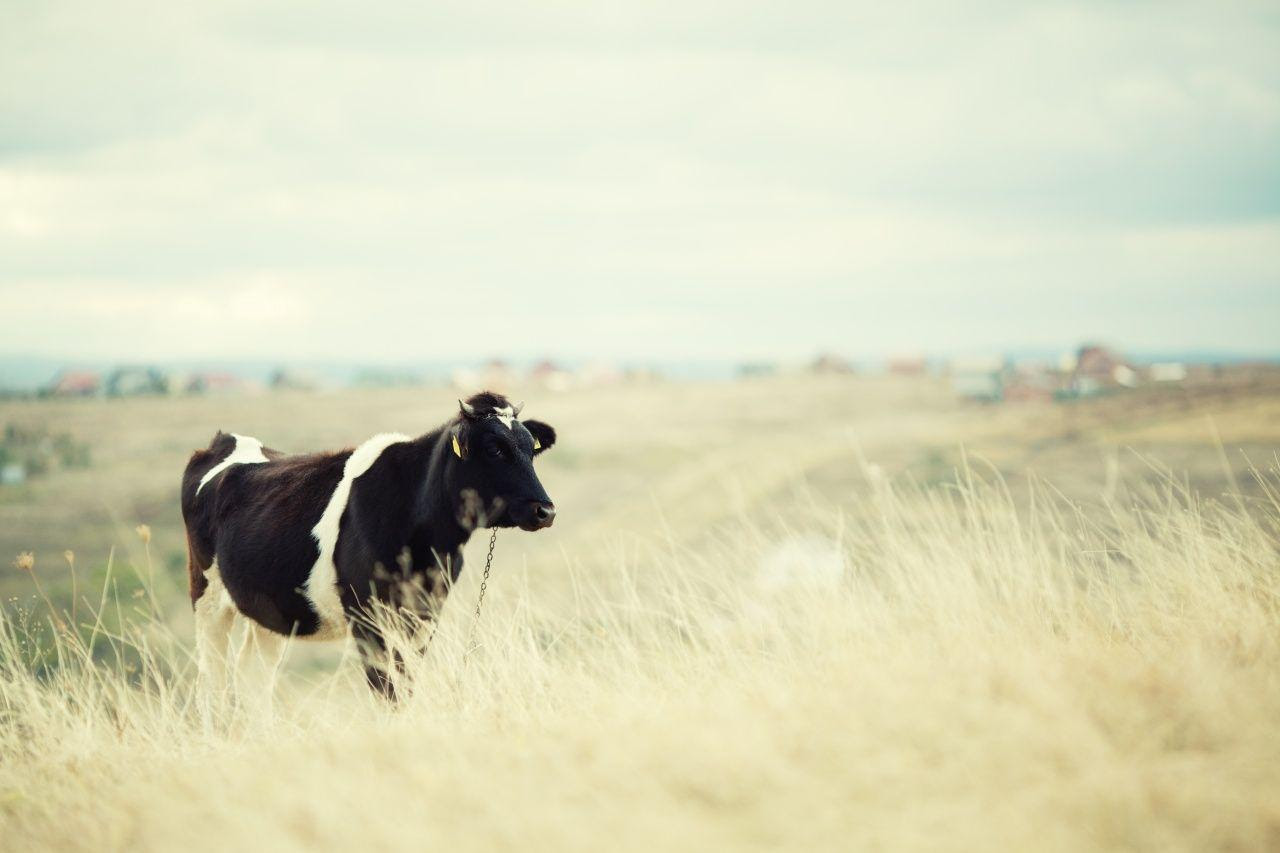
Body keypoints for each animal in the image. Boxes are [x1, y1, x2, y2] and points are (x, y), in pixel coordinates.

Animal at [180, 391, 557, 700]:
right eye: (495, 449)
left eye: (531, 449)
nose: (545, 511)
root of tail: (224, 440)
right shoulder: (366, 613)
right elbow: (385, 688)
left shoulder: (425, 612)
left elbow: (405, 683)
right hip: (208, 598)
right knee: (212, 683)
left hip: (269, 611)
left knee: (253, 678)